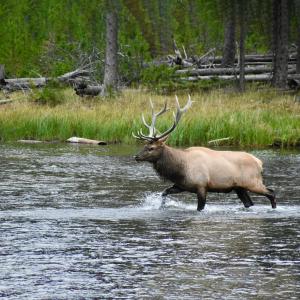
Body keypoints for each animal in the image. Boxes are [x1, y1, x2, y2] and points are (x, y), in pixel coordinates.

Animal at [134, 96, 276, 211]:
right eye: (144, 146)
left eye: (151, 147)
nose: (136, 156)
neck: (180, 169)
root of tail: (259, 163)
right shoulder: (182, 185)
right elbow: (164, 193)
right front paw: (161, 206)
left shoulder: (201, 185)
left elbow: (200, 207)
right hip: (239, 187)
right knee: (249, 203)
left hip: (253, 182)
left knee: (271, 193)